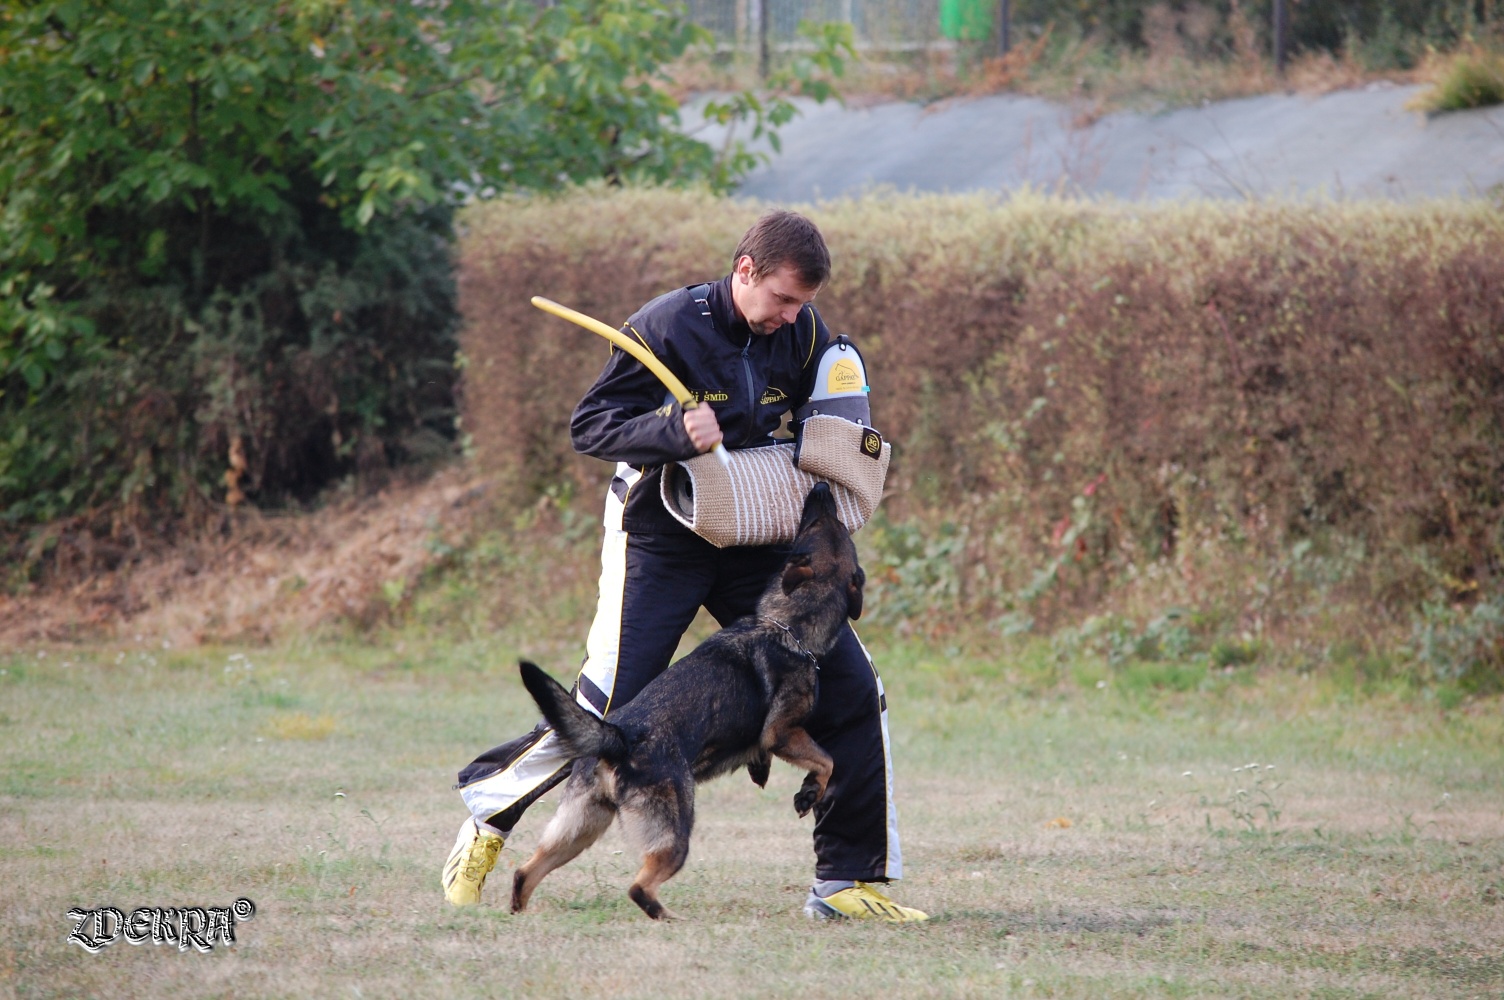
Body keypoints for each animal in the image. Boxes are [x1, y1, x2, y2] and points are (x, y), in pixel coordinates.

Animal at [508, 484, 866, 920]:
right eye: (821, 524)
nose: (821, 487)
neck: (787, 626)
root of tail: (619, 736)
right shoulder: (782, 732)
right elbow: (827, 761)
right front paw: (808, 793)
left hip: (580, 828)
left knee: (525, 871)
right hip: (673, 830)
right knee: (638, 886)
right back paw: (666, 917)